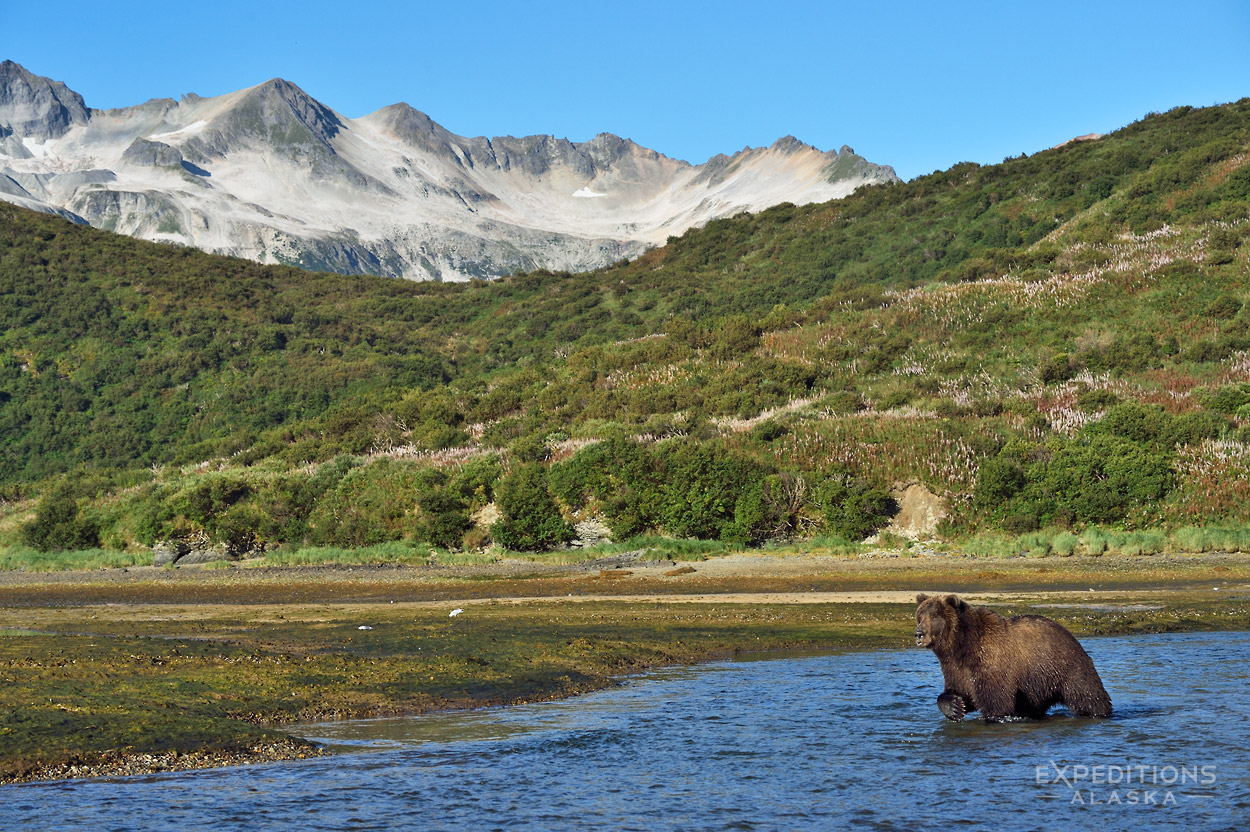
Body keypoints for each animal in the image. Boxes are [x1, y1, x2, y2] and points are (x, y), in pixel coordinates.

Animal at [910, 589, 1115, 719]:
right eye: (920, 616)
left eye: (934, 616)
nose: (919, 634)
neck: (962, 646)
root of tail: (1072, 636)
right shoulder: (955, 668)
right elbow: (958, 691)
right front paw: (955, 706)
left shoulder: (992, 665)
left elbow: (996, 702)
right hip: (1035, 686)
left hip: (1067, 669)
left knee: (1089, 696)